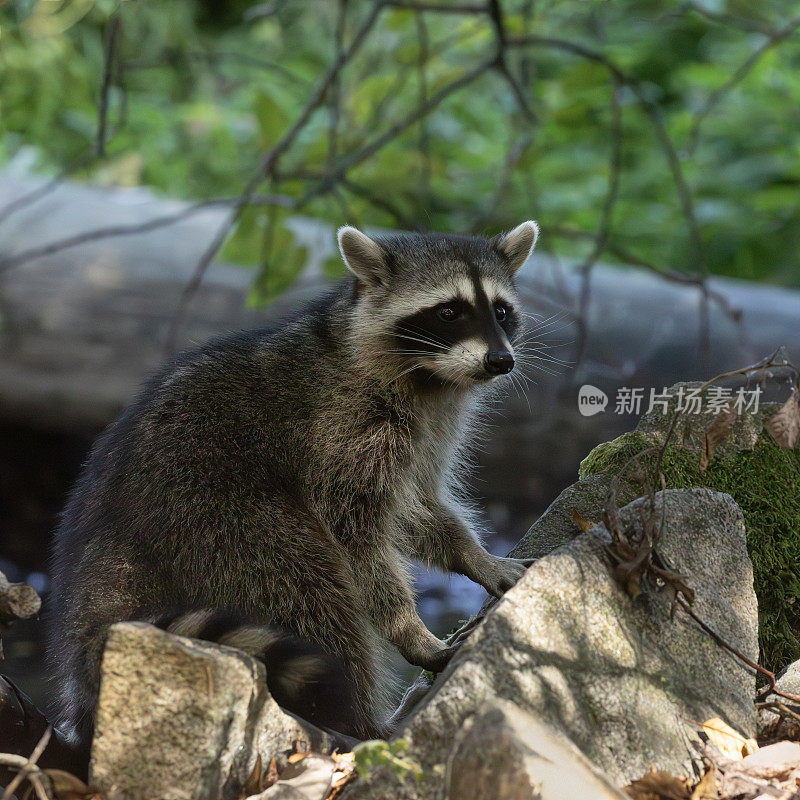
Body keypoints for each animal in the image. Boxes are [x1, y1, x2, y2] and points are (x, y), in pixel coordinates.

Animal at [47, 219, 540, 744]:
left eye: (501, 310)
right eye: (449, 311)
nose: (501, 361)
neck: (428, 377)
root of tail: (100, 577)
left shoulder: (430, 432)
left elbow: (419, 509)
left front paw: (475, 556)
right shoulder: (340, 432)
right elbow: (356, 536)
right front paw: (410, 629)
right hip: (215, 518)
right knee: (311, 590)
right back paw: (367, 724)